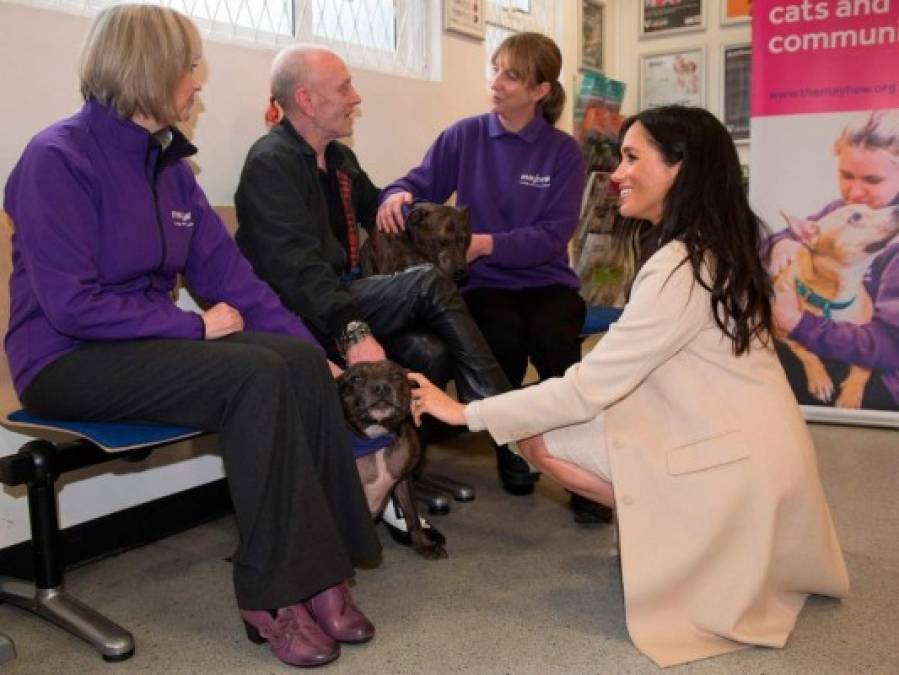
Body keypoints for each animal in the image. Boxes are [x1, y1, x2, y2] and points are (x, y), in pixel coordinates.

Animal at [338, 362, 450, 564]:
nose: (381, 387)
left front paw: (424, 546)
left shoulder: (403, 481)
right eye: (356, 378)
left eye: (396, 376)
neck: (376, 440)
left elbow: (412, 517)